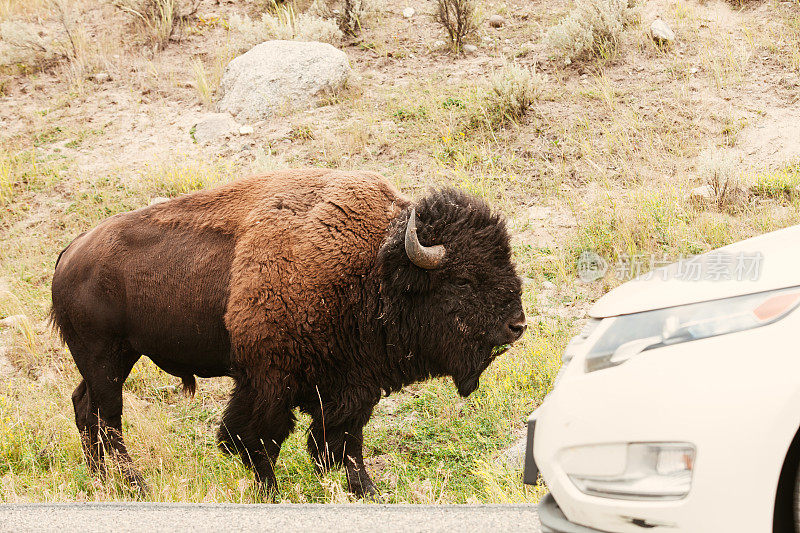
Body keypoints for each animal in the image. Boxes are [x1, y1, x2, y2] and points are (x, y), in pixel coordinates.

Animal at [50, 168, 524, 496]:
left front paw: (365, 490)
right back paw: (135, 483)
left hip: (113, 359)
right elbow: (256, 439)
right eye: (463, 280)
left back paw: (103, 480)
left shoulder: (352, 384)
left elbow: (344, 440)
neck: (375, 268)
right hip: (105, 357)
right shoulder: (268, 381)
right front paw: (271, 492)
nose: (516, 325)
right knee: (107, 418)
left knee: (85, 407)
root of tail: (70, 251)